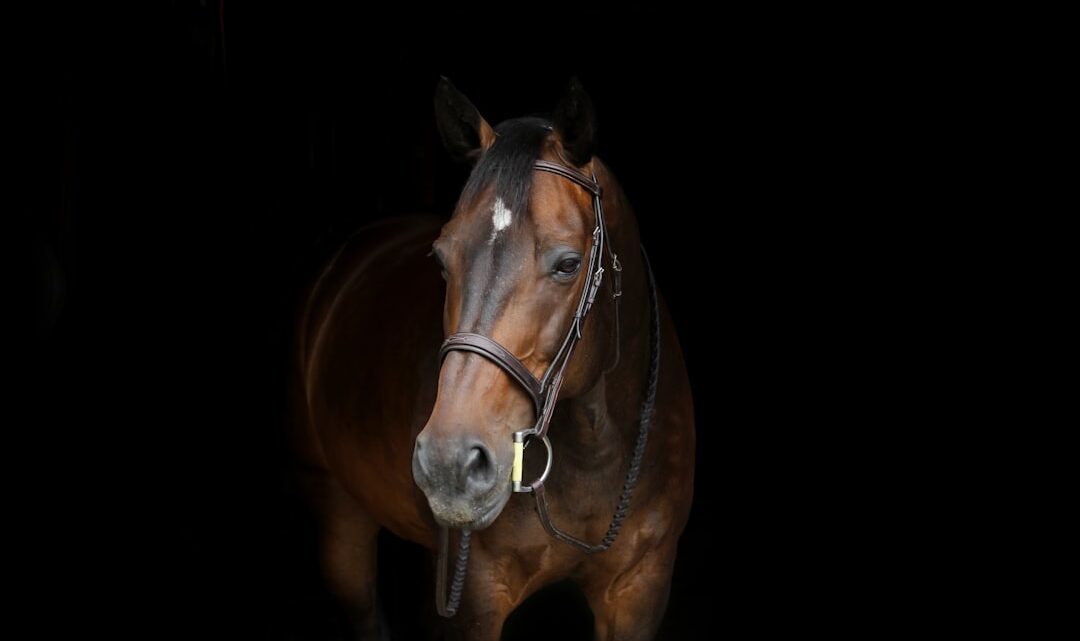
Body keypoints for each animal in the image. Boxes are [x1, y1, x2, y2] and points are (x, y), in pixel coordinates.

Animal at [290, 78, 695, 640]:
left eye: (569, 264)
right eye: (441, 259)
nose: (449, 463)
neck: (595, 449)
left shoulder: (640, 588)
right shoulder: (476, 599)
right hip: (337, 512)